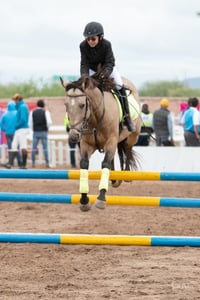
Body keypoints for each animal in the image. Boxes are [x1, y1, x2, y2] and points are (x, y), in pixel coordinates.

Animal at [60, 73, 141, 211]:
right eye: (66, 105)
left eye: (82, 105)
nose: (73, 136)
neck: (95, 117)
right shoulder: (87, 145)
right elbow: (84, 164)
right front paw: (84, 200)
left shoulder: (111, 141)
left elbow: (105, 164)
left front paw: (101, 199)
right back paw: (114, 179)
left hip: (132, 136)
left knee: (127, 150)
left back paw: (126, 174)